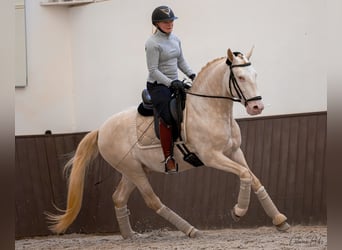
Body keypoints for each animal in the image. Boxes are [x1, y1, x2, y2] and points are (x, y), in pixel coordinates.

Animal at [46, 47, 290, 239]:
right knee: (152, 201)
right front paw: (238, 211)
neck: (209, 109)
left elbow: (253, 177)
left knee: (119, 198)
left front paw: (279, 220)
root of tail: (101, 129)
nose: (257, 107)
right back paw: (191, 230)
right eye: (239, 78)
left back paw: (129, 235)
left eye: (255, 74)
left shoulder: (234, 152)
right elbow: (245, 174)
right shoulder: (212, 157)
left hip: (133, 170)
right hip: (134, 171)